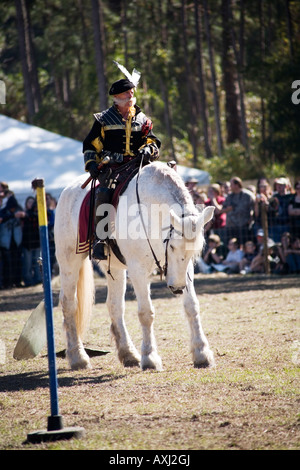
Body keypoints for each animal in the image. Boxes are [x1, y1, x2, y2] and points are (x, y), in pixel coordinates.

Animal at [53, 162, 213, 370]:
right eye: (172, 246)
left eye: (194, 252)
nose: (177, 288)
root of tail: (67, 192)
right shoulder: (138, 270)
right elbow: (146, 313)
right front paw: (150, 357)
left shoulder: (185, 272)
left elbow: (191, 306)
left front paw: (201, 353)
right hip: (69, 261)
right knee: (69, 304)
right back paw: (77, 357)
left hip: (115, 269)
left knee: (115, 306)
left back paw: (128, 354)